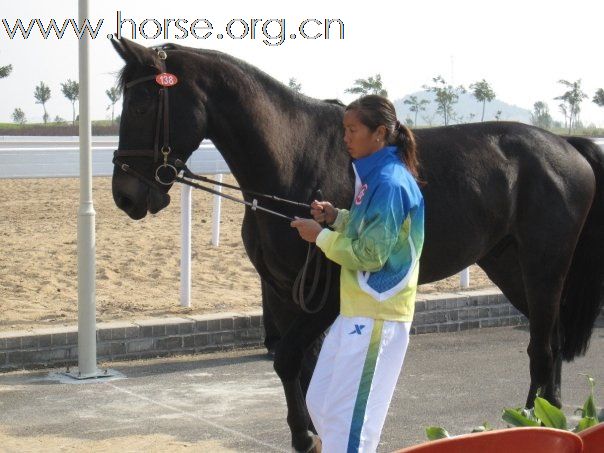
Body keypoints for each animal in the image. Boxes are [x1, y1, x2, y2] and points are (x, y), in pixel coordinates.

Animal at [109, 37, 604, 450]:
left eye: (142, 106)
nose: (125, 195)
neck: (295, 160)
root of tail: (565, 145)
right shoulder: (284, 291)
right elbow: (300, 365)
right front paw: (310, 432)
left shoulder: (325, 296)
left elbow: (288, 359)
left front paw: (305, 436)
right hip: (509, 268)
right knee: (550, 341)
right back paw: (543, 419)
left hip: (544, 269)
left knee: (543, 347)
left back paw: (538, 423)